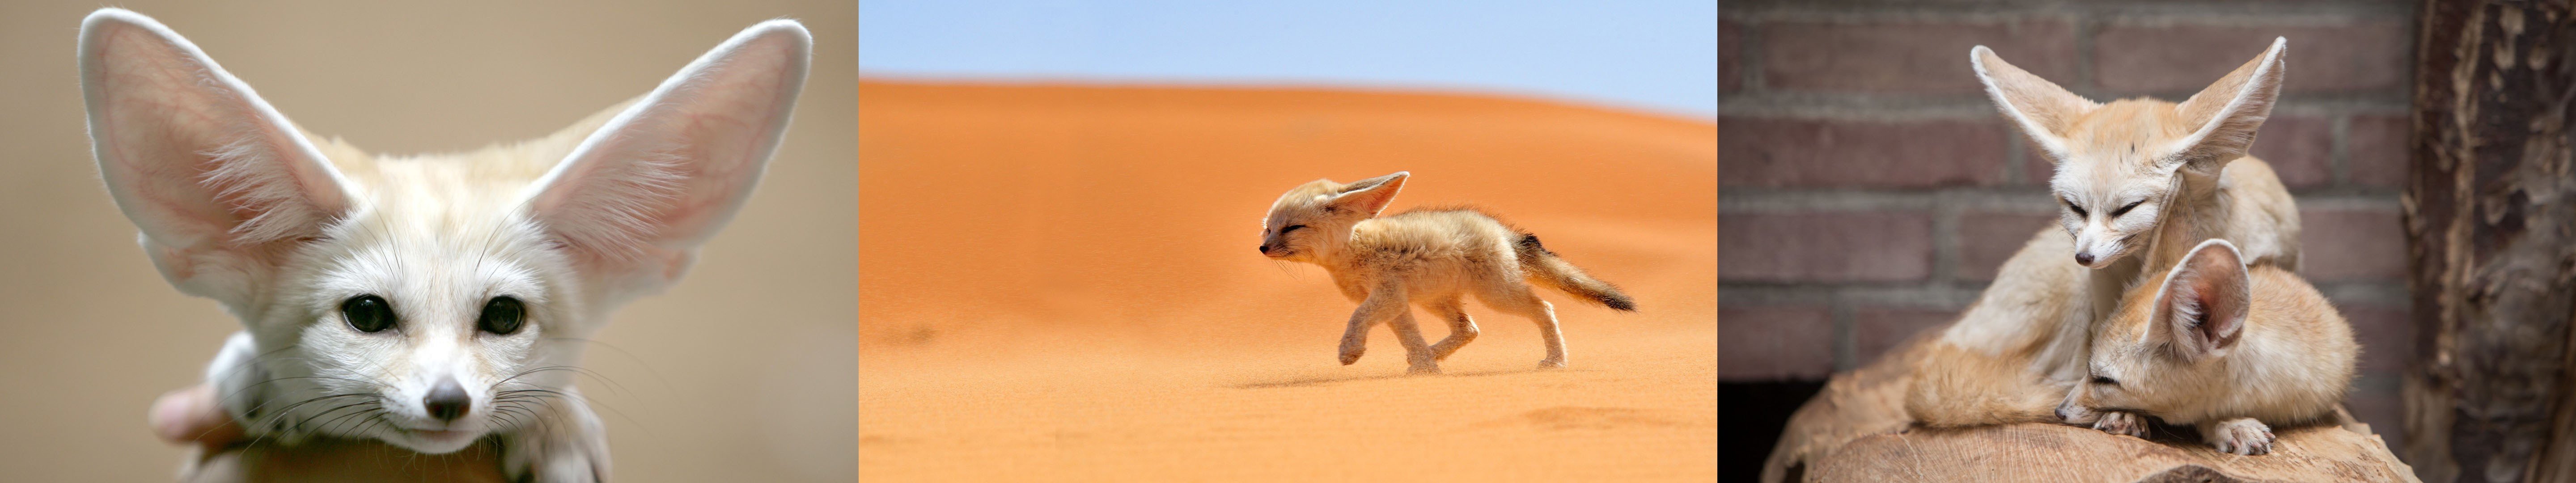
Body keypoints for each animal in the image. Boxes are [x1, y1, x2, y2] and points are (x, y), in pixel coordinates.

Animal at [1257, 172, 1635, 374]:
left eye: (1292, 228)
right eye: (1269, 229)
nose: (1263, 249)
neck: (1354, 250)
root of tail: (1500, 229)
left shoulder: (1386, 296)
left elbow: (1357, 318)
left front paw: (1350, 350)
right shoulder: (1397, 304)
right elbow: (1410, 337)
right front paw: (1426, 368)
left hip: (1497, 296)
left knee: (1544, 308)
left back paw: (1556, 360)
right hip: (1436, 301)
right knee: (1469, 329)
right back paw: (1430, 356)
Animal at [1906, 39, 2306, 434]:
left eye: (2127, 209)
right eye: (2076, 208)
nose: (2084, 257)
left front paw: (2228, 421)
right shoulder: (2104, 308)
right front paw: (2124, 412)